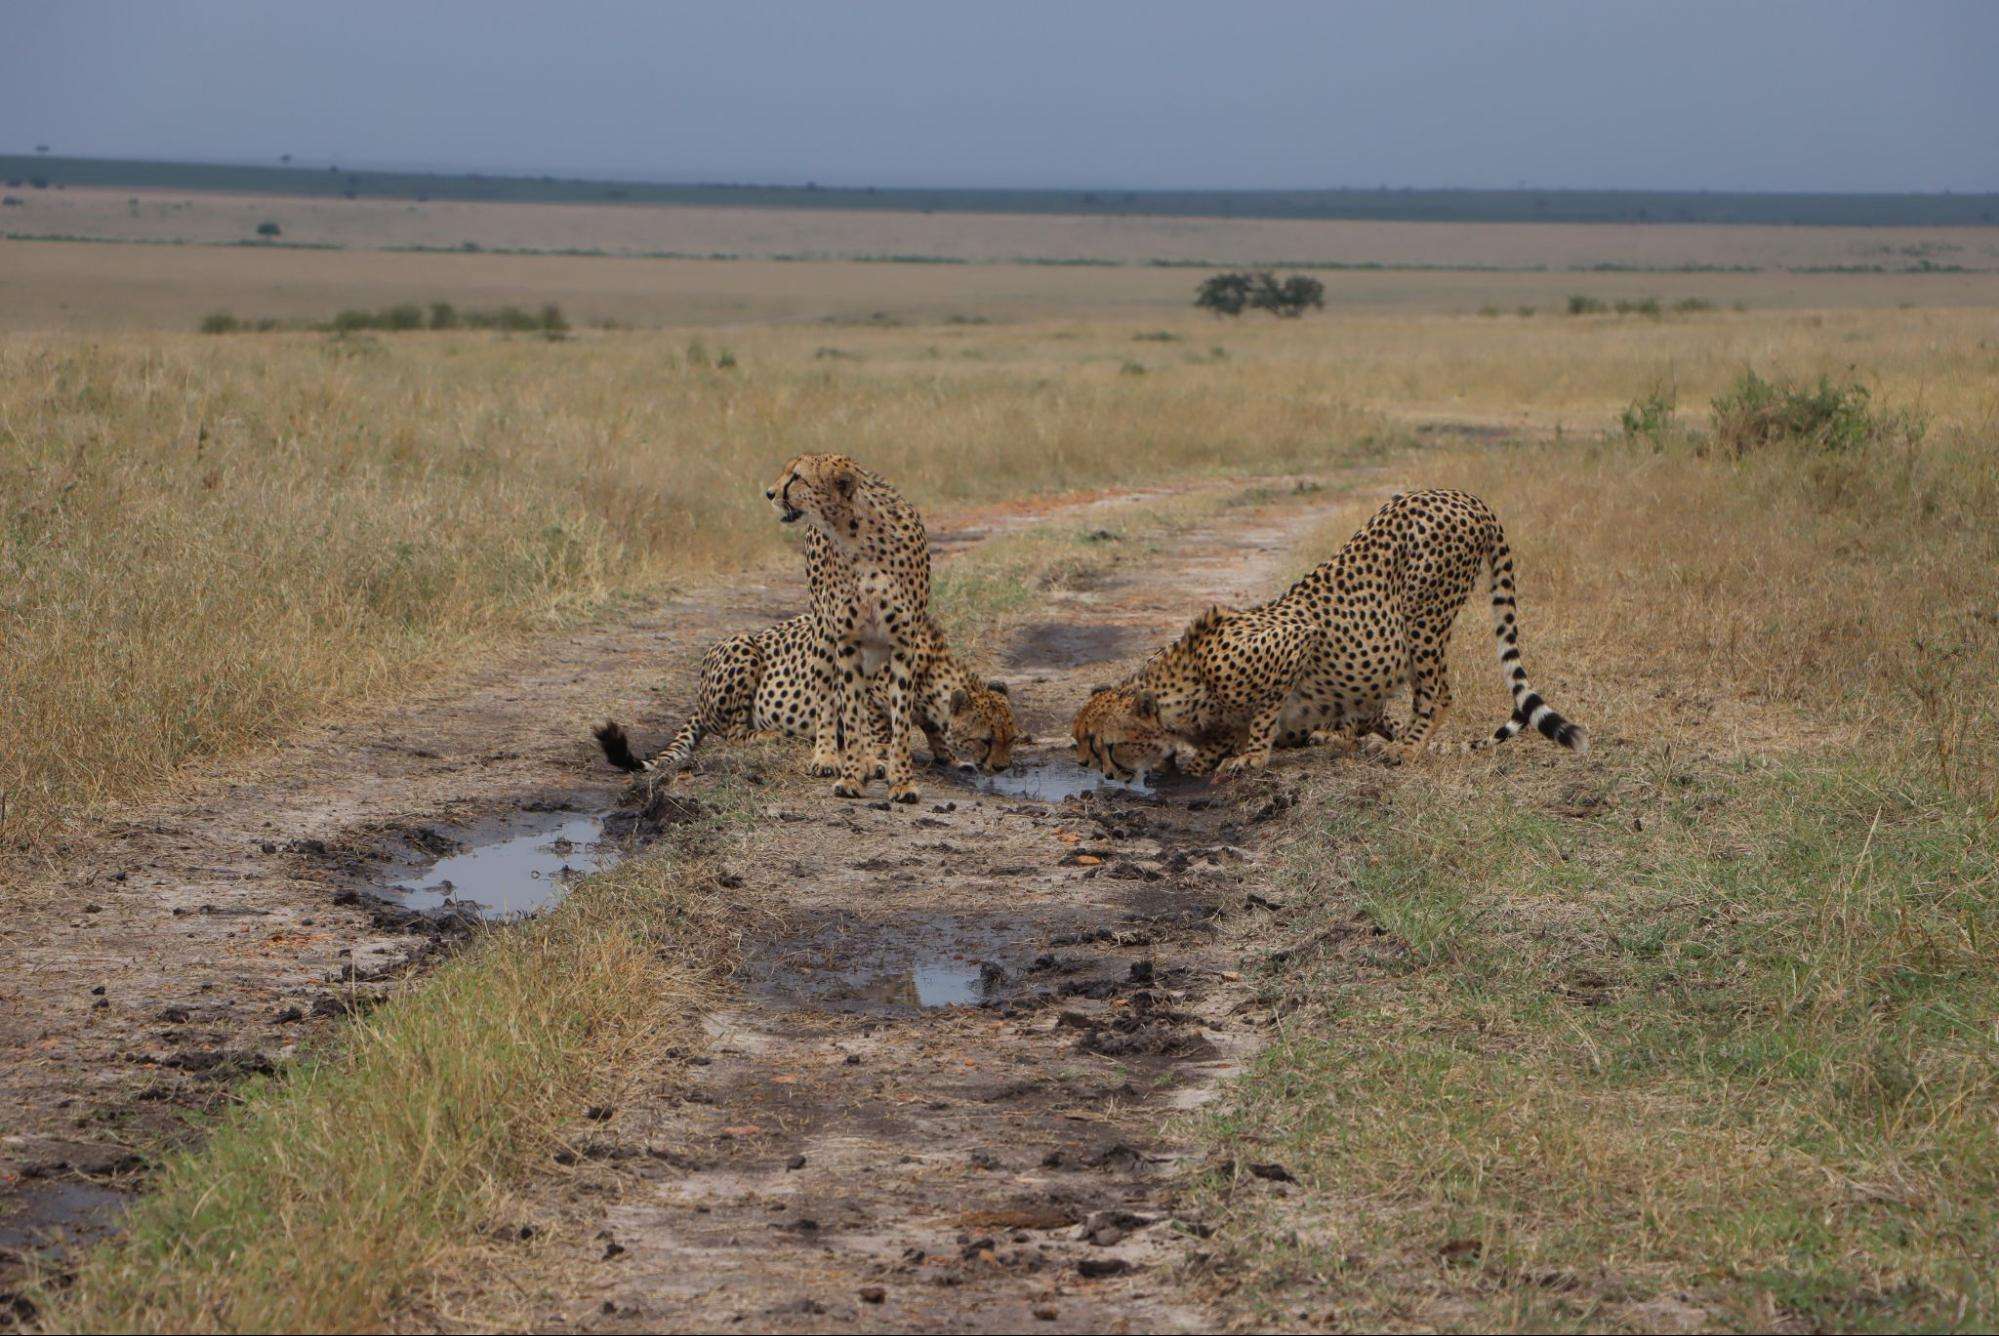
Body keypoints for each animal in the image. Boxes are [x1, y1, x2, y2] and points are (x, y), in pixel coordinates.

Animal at [583, 612, 1007, 776]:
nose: (1003, 768)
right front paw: (878, 760)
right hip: (742, 646)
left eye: (1012, 739)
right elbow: (877, 729)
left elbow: (936, 732)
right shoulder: (867, 688)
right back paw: (773, 735)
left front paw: (951, 758)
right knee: (732, 733)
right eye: (986, 740)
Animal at [763, 448, 935, 804]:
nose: (769, 493)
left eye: (796, 477)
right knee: (828, 697)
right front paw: (851, 776)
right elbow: (851, 713)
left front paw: (902, 781)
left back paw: (871, 761)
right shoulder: (848, 641)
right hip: (824, 638)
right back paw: (828, 757)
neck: (856, 533)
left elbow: (899, 719)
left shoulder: (901, 644)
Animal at [1071, 488, 1583, 784]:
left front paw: (1249, 758)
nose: (1086, 767)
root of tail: (1463, 495)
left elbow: (1263, 714)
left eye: (1101, 743)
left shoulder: (1292, 642)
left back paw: (1404, 748)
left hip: (1424, 615)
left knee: (1436, 694)